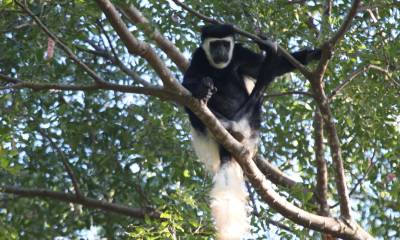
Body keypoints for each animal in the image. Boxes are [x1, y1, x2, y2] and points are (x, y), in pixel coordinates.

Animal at [183, 23, 320, 238]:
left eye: (225, 44)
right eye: (214, 45)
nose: (221, 52)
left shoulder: (240, 53)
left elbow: (273, 67)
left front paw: (314, 53)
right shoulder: (199, 57)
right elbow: (187, 82)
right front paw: (201, 88)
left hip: (252, 121)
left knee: (263, 82)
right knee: (191, 107)